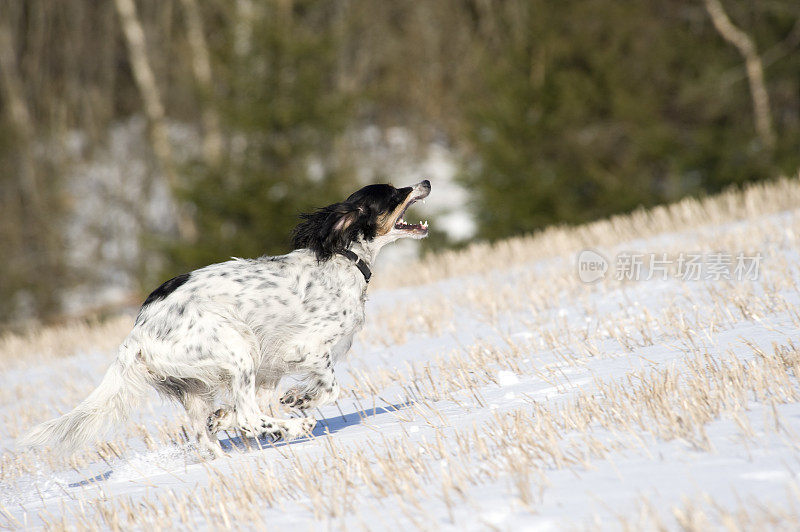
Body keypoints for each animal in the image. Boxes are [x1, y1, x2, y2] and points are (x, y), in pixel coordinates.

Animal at [20, 179, 432, 458]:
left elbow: (237, 411)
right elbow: (329, 387)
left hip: (197, 384)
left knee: (206, 435)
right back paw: (293, 427)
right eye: (393, 194)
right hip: (237, 345)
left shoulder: (270, 371)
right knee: (250, 414)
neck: (343, 260)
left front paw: (248, 413)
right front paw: (300, 400)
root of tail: (137, 335)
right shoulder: (305, 349)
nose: (425, 182)